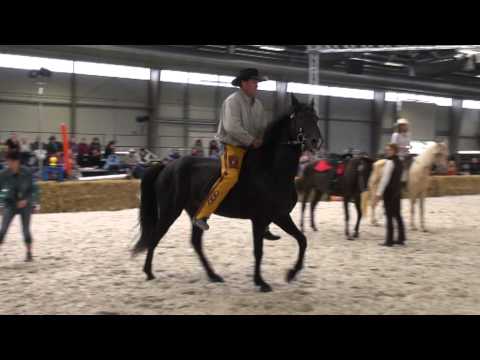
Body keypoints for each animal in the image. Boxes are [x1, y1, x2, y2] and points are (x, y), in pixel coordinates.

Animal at [131, 94, 322, 292]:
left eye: (316, 118)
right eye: (300, 118)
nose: (316, 141)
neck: (272, 170)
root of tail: (166, 166)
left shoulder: (280, 216)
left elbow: (302, 240)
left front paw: (291, 273)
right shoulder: (260, 219)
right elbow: (258, 251)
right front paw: (261, 282)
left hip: (195, 213)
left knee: (196, 242)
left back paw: (213, 275)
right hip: (170, 211)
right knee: (155, 236)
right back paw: (149, 272)